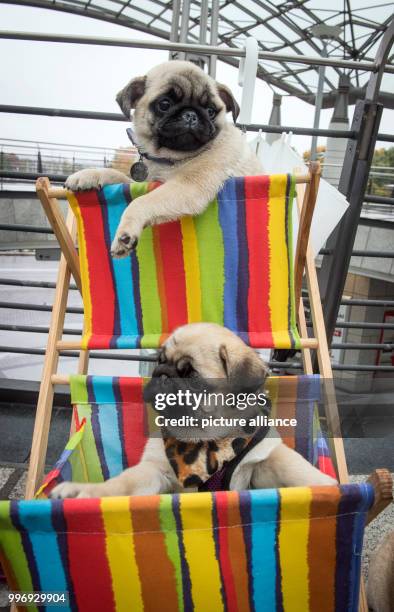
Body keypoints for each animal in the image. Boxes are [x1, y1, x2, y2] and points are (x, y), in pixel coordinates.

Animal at [50, 322, 338, 500]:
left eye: (192, 377)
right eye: (160, 360)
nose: (162, 375)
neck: (208, 440)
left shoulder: (263, 459)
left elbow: (295, 468)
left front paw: (330, 486)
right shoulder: (155, 471)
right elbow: (122, 483)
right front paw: (88, 492)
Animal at [64, 58, 262, 256]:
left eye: (211, 111)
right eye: (164, 104)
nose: (191, 115)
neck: (168, 158)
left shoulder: (187, 186)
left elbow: (140, 201)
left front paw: (125, 233)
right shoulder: (142, 182)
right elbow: (116, 174)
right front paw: (89, 175)